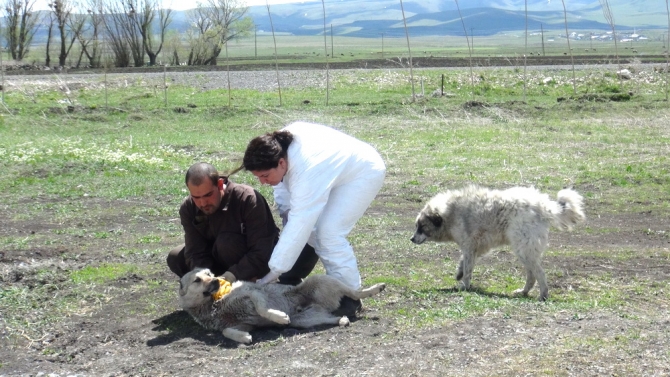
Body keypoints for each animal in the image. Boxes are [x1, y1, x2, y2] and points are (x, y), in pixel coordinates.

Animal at [178, 268, 388, 344]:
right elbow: (226, 331)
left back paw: (376, 288)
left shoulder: (254, 294)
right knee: (330, 317)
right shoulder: (243, 323)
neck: (214, 303)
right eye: (197, 279)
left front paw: (278, 316)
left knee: (355, 292)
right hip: (304, 320)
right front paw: (243, 337)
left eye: (209, 273)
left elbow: (262, 308)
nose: (215, 279)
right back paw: (342, 320)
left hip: (321, 280)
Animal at [412, 184, 584, 302]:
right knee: (532, 275)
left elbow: (468, 269)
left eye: (422, 227)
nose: (411, 239)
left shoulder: (469, 246)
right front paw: (459, 273)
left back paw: (543, 295)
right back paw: (523, 292)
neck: (450, 212)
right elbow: (464, 264)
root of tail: (543, 206)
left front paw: (464, 286)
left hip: (523, 250)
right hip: (525, 252)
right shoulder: (477, 247)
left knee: (539, 274)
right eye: (417, 226)